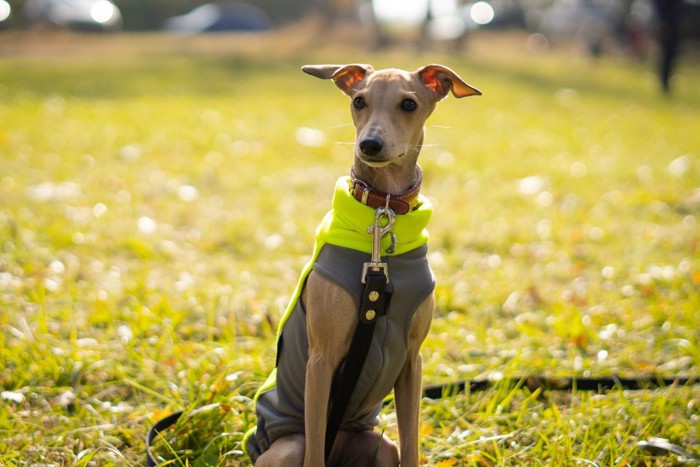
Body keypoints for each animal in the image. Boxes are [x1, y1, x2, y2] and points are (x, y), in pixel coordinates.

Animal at [243, 64, 478, 466]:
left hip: (377, 447)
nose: (369, 144)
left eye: (409, 103)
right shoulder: (322, 361)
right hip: (287, 448)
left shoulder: (411, 361)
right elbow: (315, 450)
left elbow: (411, 443)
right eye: (359, 101)